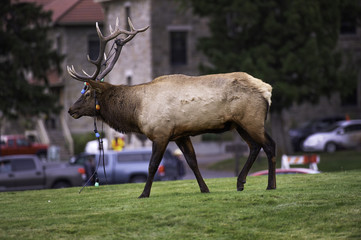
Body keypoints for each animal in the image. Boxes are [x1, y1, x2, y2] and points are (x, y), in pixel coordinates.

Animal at [68, 18, 276, 199]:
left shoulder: (161, 133)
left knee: (269, 145)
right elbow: (192, 162)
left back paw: (270, 185)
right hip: (240, 124)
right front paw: (205, 189)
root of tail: (267, 89)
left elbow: (152, 165)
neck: (136, 111)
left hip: (252, 119)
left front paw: (144, 194)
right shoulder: (180, 134)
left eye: (87, 93)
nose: (71, 110)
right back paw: (240, 182)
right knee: (255, 146)